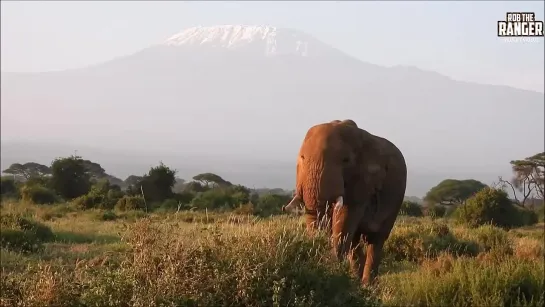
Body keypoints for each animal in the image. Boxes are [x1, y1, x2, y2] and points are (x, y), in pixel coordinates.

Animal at [282, 119, 406, 286]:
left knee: (376, 240)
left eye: (346, 160)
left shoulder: (363, 181)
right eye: (302, 157)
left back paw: (367, 285)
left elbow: (346, 216)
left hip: (396, 200)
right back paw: (357, 280)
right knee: (355, 241)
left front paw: (333, 272)